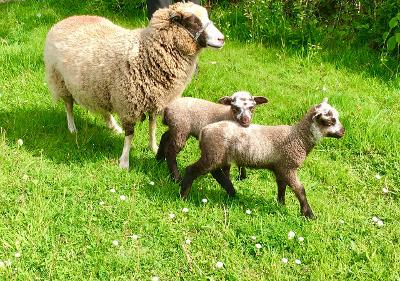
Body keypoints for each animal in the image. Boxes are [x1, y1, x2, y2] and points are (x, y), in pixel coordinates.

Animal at [44, 1, 225, 168]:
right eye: (193, 21)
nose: (222, 39)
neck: (146, 52)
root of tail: (67, 19)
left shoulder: (155, 100)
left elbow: (152, 127)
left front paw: (153, 147)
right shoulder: (129, 104)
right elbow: (130, 135)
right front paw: (124, 162)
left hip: (100, 88)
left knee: (104, 109)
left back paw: (114, 127)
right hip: (60, 80)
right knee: (68, 106)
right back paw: (72, 128)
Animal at [180, 97, 344, 218]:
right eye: (330, 121)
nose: (343, 132)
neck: (298, 137)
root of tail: (204, 131)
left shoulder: (280, 168)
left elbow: (281, 186)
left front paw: (281, 204)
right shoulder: (288, 166)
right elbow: (300, 190)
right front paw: (308, 214)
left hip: (218, 155)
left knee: (216, 173)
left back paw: (231, 192)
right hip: (213, 153)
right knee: (192, 170)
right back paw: (184, 196)